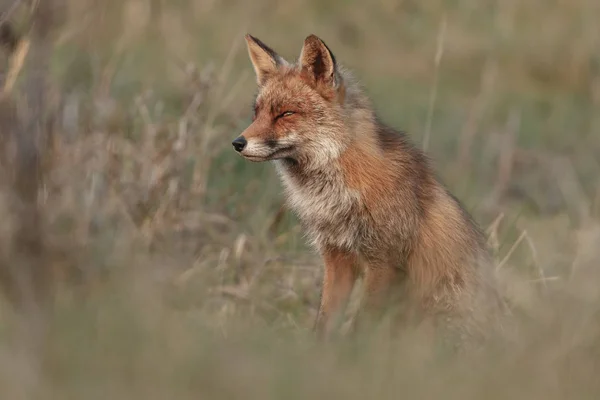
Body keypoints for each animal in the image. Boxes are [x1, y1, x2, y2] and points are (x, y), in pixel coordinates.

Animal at [232, 32, 508, 348]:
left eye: (286, 114)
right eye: (257, 113)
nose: (238, 143)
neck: (336, 193)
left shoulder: (384, 261)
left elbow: (360, 327)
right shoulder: (336, 257)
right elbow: (325, 321)